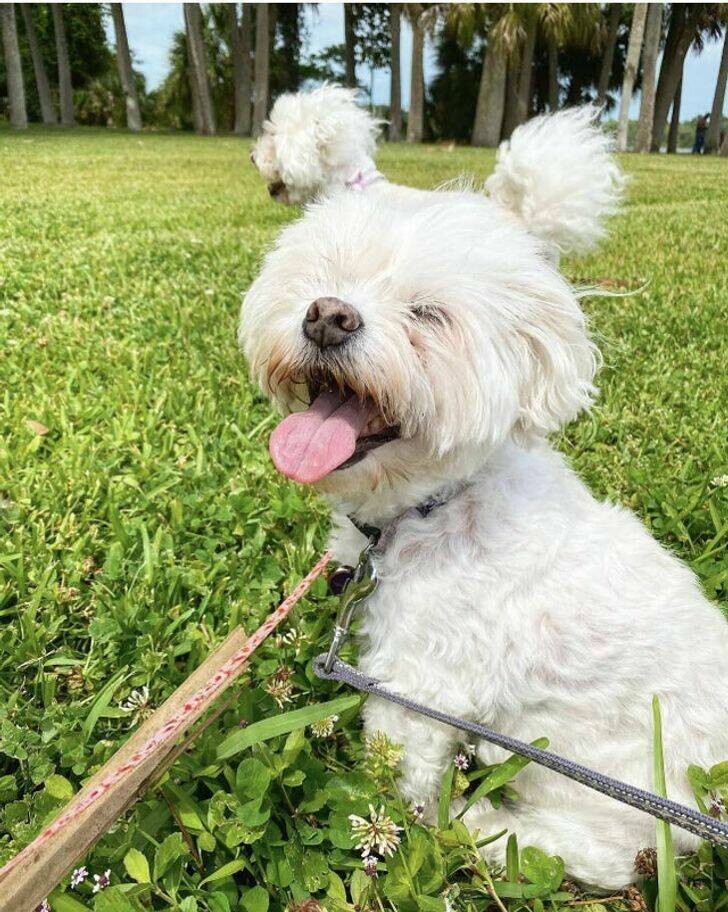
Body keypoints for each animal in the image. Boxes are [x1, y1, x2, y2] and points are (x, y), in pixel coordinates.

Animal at [239, 108, 728, 892]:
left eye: (429, 314)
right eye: (322, 274)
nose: (327, 316)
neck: (431, 507)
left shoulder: (419, 683)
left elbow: (397, 772)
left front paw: (395, 827)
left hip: (619, 804)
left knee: (589, 851)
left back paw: (482, 829)